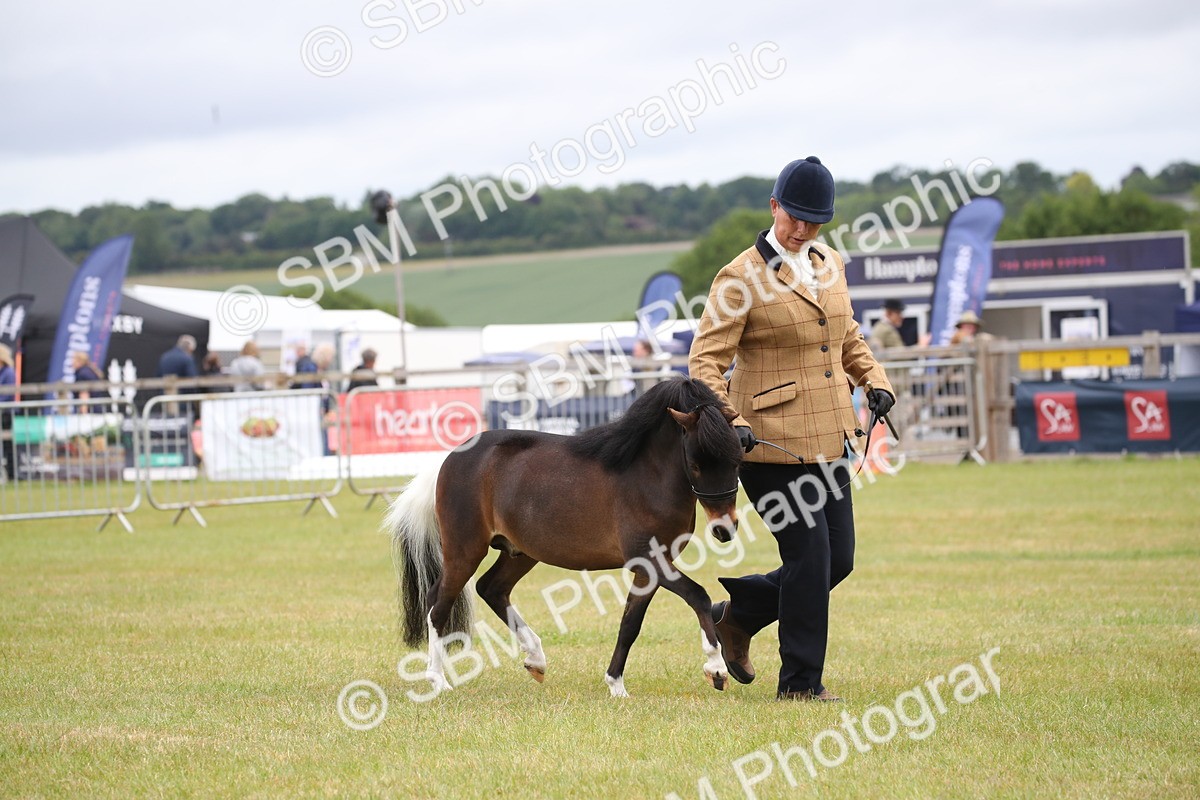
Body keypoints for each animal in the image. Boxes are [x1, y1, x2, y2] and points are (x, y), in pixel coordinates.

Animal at [384, 377, 744, 698]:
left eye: (737, 459)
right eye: (695, 464)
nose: (724, 529)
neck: (645, 477)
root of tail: (449, 459)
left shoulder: (652, 568)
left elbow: (630, 624)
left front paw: (616, 685)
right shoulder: (649, 560)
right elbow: (698, 596)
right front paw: (716, 669)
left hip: (520, 552)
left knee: (491, 588)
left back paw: (535, 659)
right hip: (464, 550)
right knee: (438, 605)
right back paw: (439, 680)